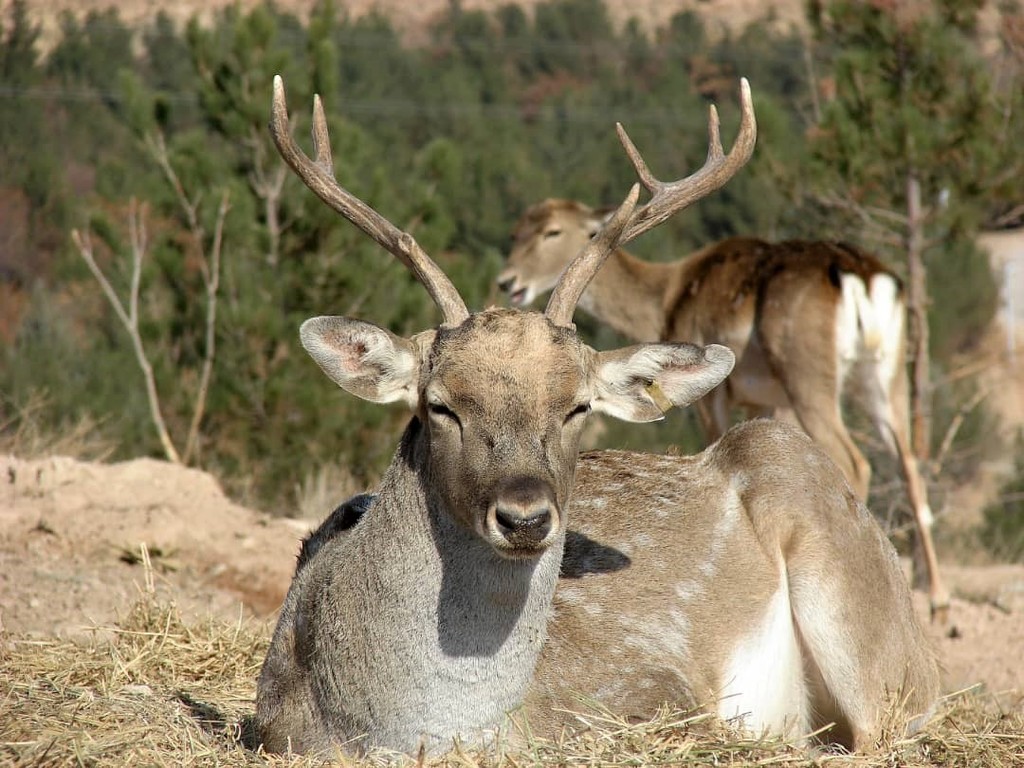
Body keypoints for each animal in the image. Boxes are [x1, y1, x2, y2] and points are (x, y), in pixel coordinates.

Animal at [497, 210, 949, 622]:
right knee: (911, 465)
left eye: (552, 230)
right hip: (887, 376)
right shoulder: (765, 399)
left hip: (807, 374)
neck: (667, 300)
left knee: (856, 461)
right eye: (516, 230)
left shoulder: (716, 396)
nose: (507, 281)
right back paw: (938, 605)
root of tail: (864, 277)